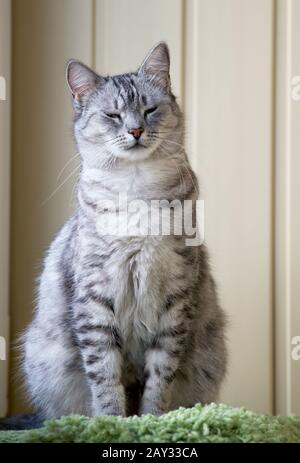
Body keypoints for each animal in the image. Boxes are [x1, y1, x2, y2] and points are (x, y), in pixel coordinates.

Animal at [21, 44, 227, 420]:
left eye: (149, 109)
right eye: (113, 115)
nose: (135, 131)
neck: (135, 189)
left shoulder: (175, 298)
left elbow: (160, 378)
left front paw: (151, 421)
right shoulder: (94, 300)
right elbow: (104, 376)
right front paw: (113, 422)